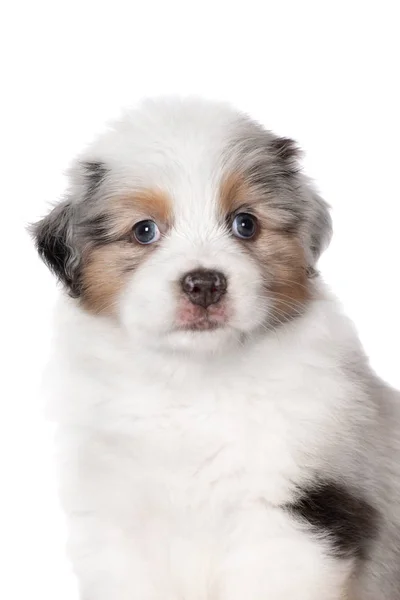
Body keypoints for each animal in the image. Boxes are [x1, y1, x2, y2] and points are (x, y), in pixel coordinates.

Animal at [32, 98, 400, 600]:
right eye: (144, 231)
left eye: (245, 224)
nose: (205, 284)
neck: (194, 380)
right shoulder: (117, 523)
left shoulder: (293, 516)